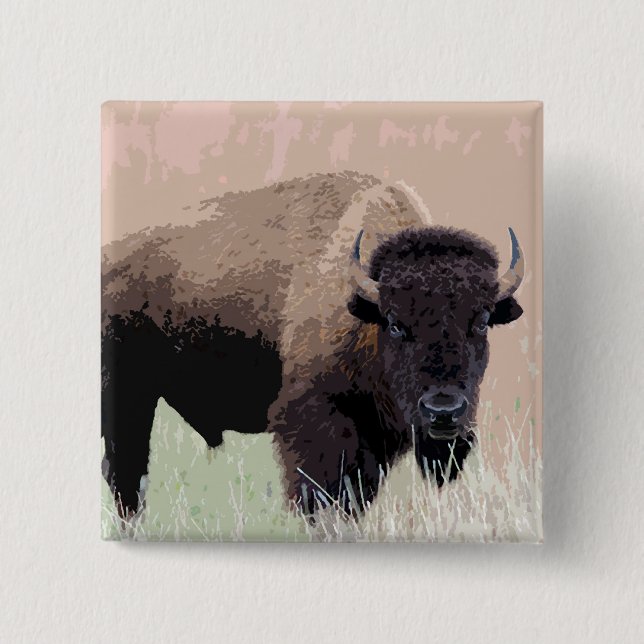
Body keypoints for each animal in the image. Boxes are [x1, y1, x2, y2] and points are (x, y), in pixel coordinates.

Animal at [101, 171, 523, 517]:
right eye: (395, 324)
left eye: (482, 321)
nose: (443, 411)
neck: (362, 303)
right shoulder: (317, 424)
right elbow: (320, 494)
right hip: (127, 396)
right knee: (126, 473)